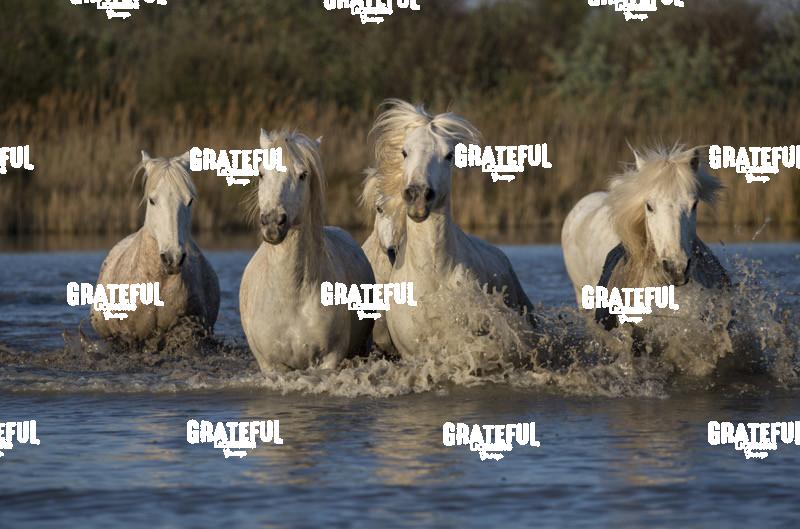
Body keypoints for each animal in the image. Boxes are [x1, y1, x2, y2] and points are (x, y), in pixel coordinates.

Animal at [240, 129, 375, 371]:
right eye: (261, 173)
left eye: (303, 175)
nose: (273, 222)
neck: (290, 296)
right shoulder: (271, 365)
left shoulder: (330, 358)